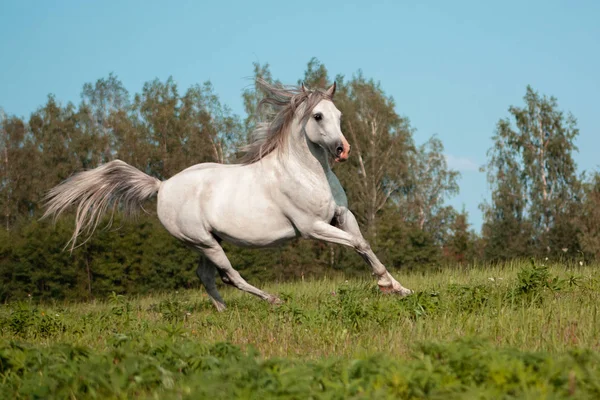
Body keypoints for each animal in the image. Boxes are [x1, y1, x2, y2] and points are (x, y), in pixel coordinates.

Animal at [43, 78, 412, 310]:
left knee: (206, 276)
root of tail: (162, 187)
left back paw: (223, 312)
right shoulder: (312, 227)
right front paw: (387, 286)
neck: (306, 172)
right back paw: (272, 301)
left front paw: (398, 288)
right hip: (204, 242)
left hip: (206, 242)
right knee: (229, 275)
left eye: (339, 115)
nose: (342, 150)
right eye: (318, 116)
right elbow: (359, 244)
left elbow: (364, 245)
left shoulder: (341, 216)